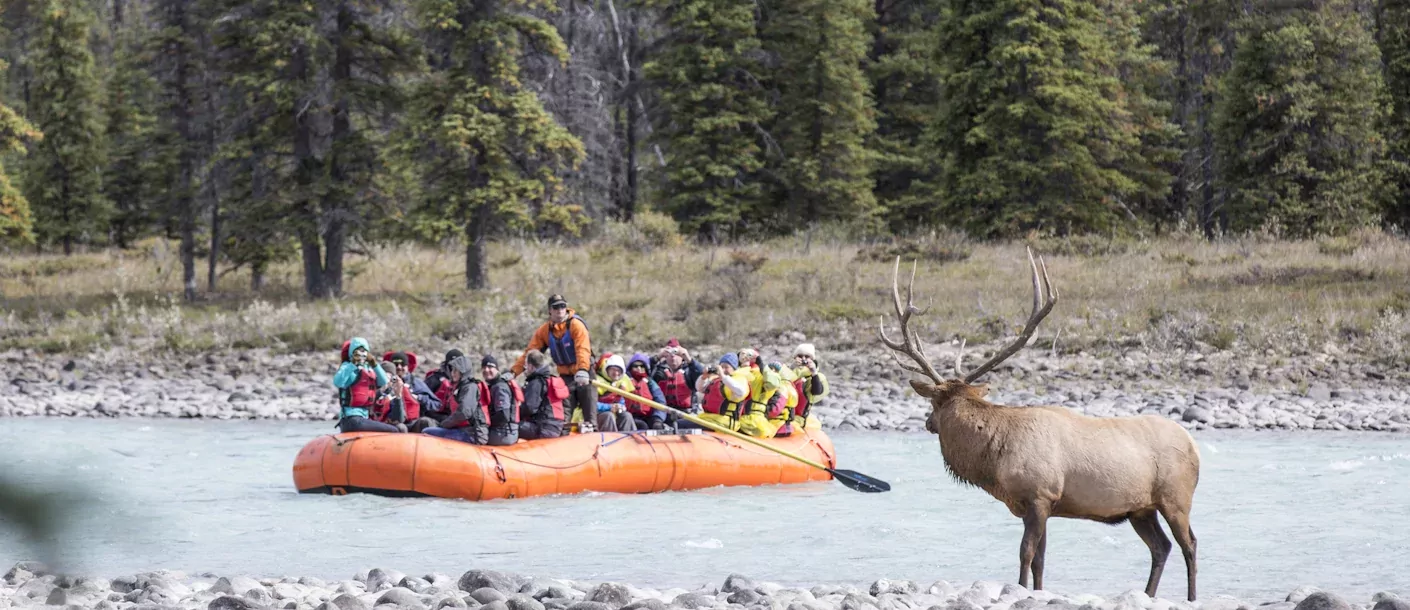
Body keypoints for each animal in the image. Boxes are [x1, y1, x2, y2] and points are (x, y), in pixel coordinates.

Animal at [879, 247, 1201, 600]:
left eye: (934, 403)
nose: (927, 422)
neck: (995, 459)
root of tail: (1193, 446)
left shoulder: (1039, 495)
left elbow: (1026, 553)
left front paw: (1018, 588)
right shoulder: (1038, 505)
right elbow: (1041, 560)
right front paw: (1037, 591)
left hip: (1176, 497)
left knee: (1189, 544)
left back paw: (1191, 596)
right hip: (1141, 508)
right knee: (1161, 546)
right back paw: (1149, 593)